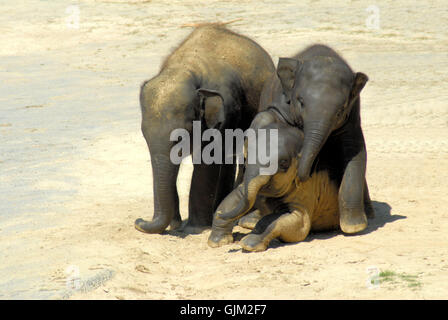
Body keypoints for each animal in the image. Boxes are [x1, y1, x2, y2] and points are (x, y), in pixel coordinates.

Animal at [133, 25, 274, 234]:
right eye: (144, 135)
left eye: (181, 138)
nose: (139, 221)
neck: (186, 68)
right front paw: (176, 224)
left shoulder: (224, 110)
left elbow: (208, 160)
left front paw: (195, 227)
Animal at [207, 111, 340, 251]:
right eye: (248, 154)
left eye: (283, 163)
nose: (219, 214)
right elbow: (234, 198)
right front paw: (218, 242)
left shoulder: (307, 190)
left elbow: (298, 225)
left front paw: (249, 244)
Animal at [254, 44, 376, 232]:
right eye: (301, 102)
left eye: (340, 110)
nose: (302, 176)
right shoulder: (282, 105)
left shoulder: (352, 117)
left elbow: (355, 151)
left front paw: (354, 227)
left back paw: (369, 214)